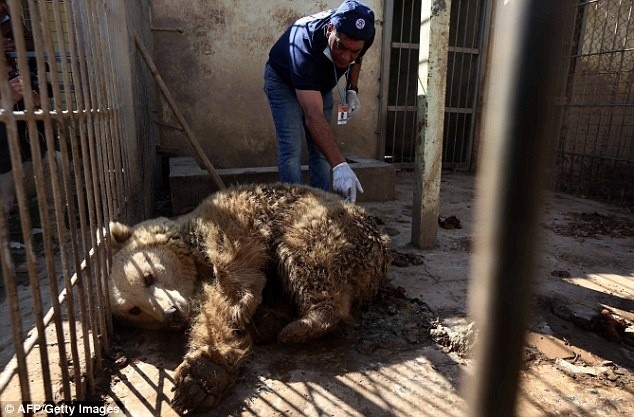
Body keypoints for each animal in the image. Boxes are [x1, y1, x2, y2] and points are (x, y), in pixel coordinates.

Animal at [106, 183, 388, 412]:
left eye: (148, 276)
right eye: (134, 310)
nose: (171, 314)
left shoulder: (231, 217)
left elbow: (235, 259)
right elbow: (215, 314)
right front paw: (201, 381)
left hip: (321, 223)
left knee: (309, 257)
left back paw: (301, 326)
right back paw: (273, 323)